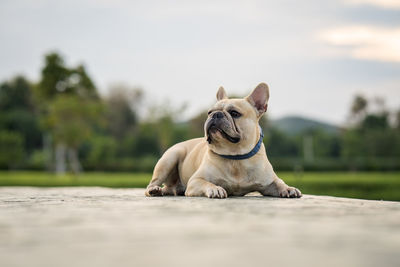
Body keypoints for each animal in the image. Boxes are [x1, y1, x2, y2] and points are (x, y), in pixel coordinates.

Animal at [145, 84, 302, 199]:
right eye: (209, 112)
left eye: (234, 113)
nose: (215, 114)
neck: (235, 156)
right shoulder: (196, 180)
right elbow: (207, 183)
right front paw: (216, 189)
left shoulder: (269, 182)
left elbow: (279, 182)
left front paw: (289, 188)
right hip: (169, 159)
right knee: (151, 185)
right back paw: (155, 190)